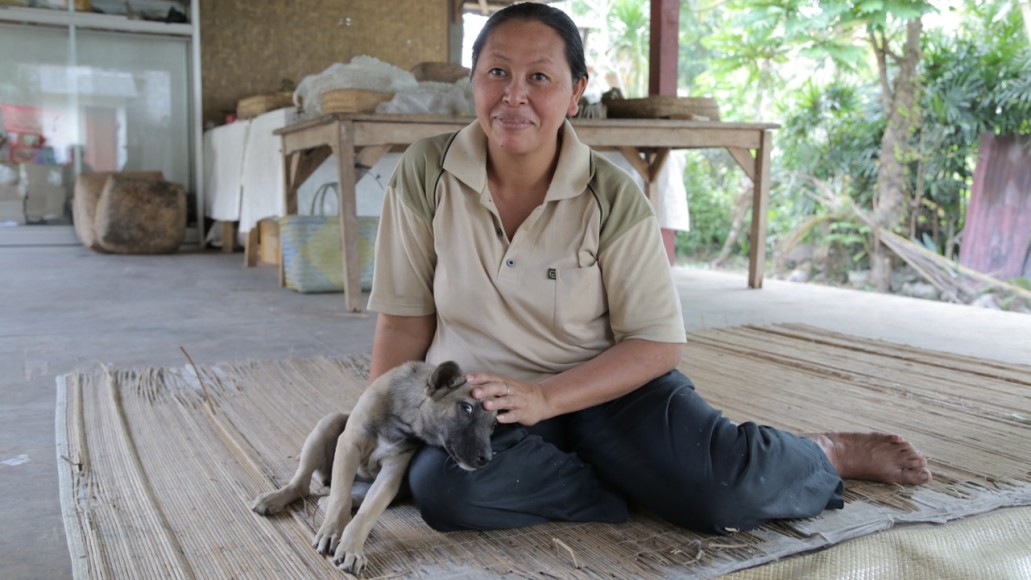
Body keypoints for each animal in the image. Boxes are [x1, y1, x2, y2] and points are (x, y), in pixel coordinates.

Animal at [248, 360, 490, 572]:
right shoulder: (349, 444)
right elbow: (339, 500)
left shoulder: (392, 470)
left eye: (493, 426)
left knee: (336, 500)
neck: (404, 418)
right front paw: (331, 531)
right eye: (466, 408)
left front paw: (351, 549)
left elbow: (367, 513)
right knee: (305, 486)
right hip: (330, 423)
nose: (487, 458)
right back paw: (275, 498)